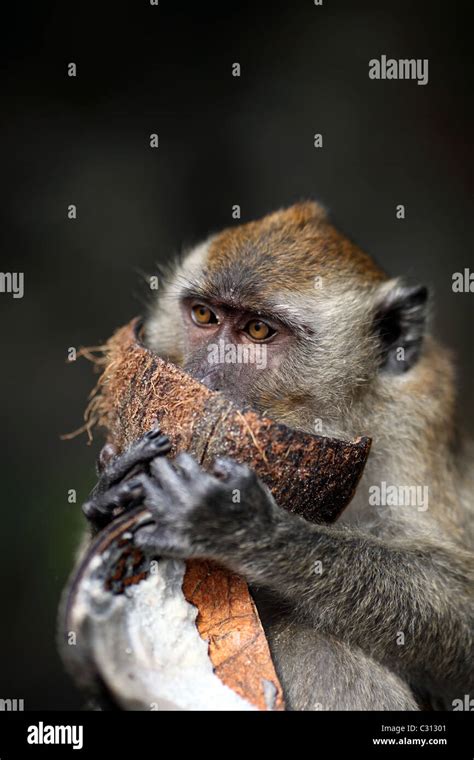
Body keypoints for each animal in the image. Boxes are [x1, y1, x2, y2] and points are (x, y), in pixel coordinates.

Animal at [83, 203, 472, 712]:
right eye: (204, 315)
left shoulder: (417, 420)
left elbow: (461, 608)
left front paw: (243, 528)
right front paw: (111, 496)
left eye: (258, 330)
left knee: (321, 648)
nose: (204, 377)